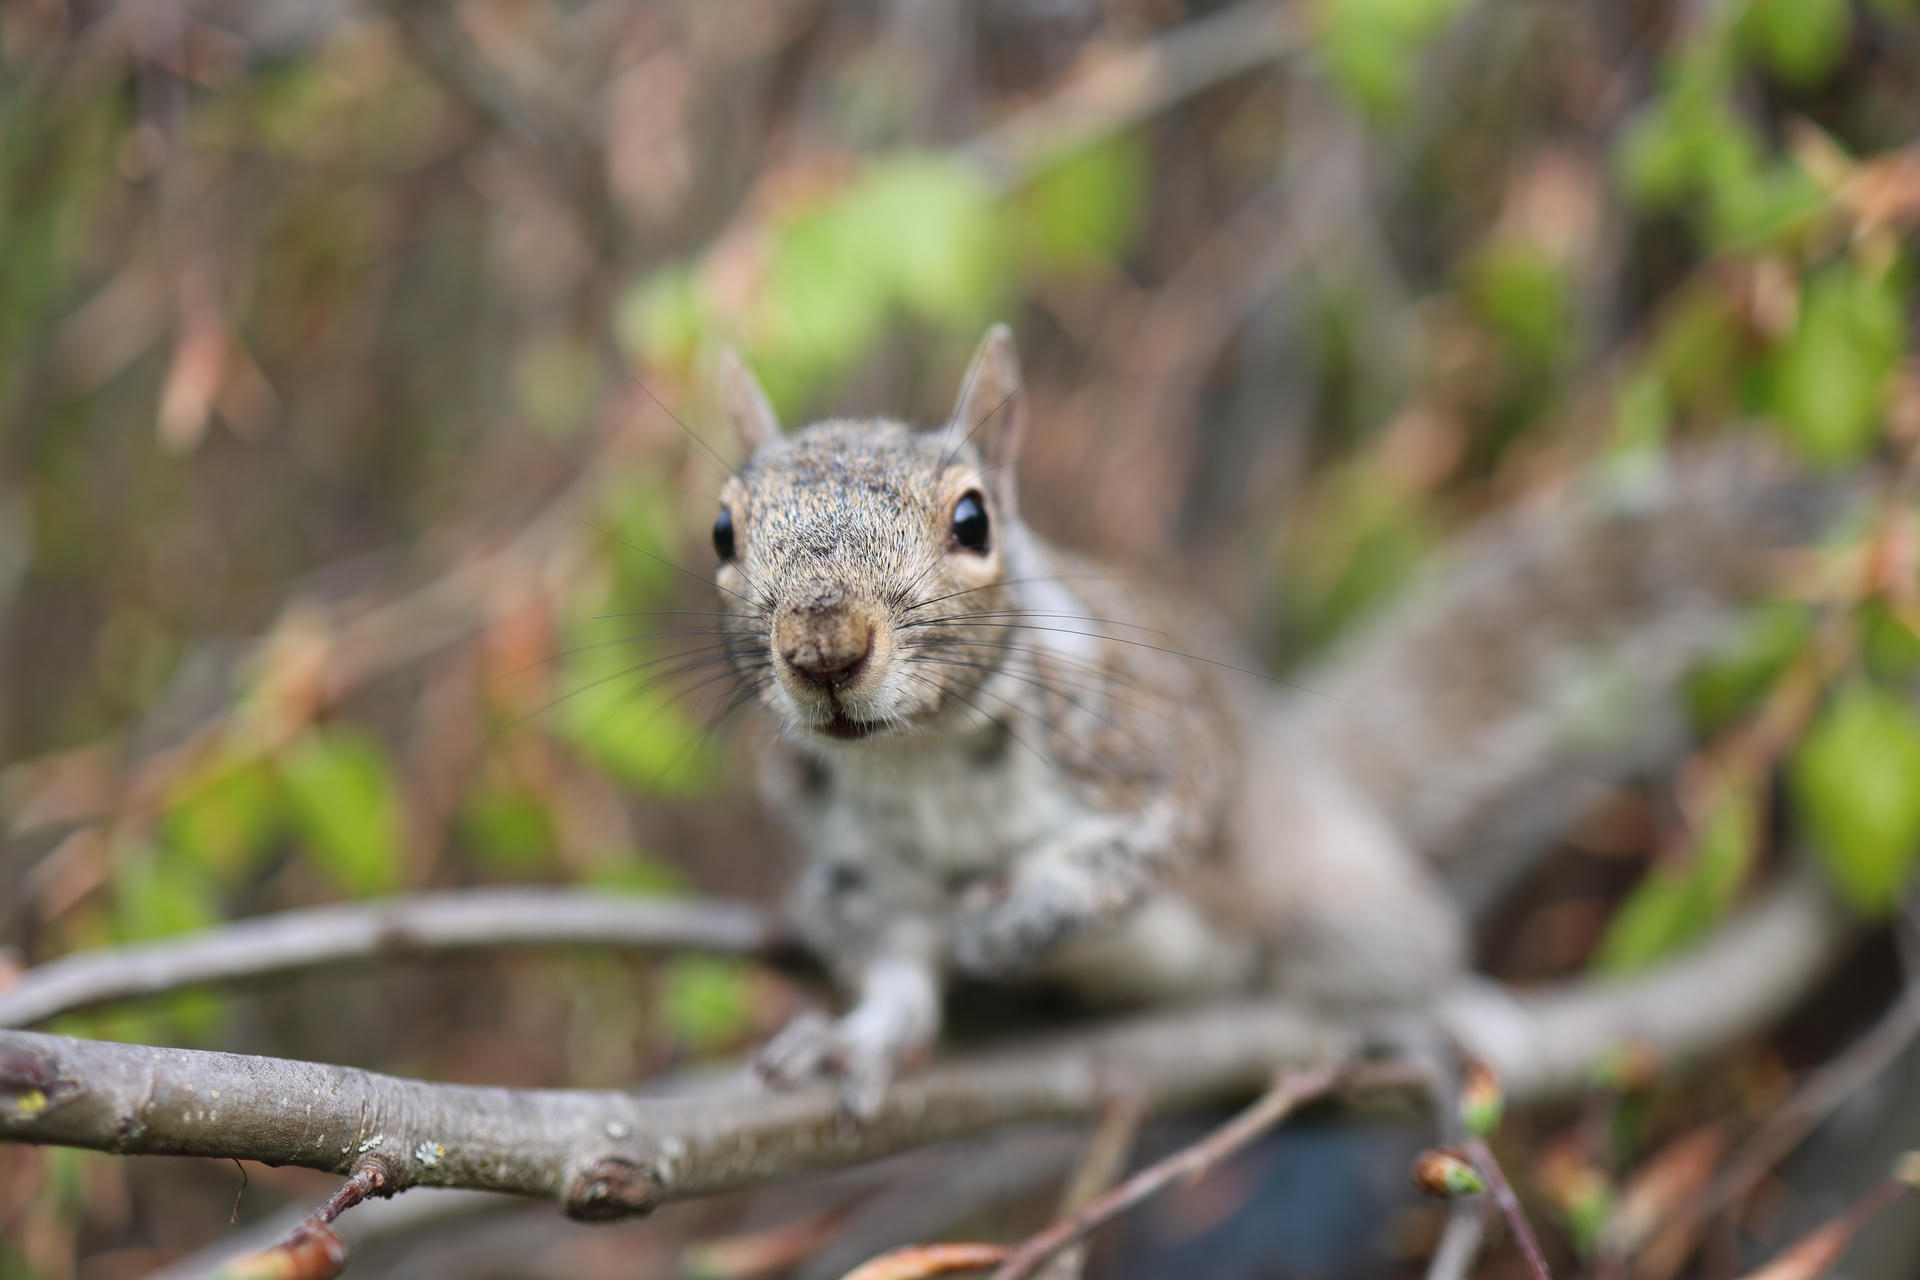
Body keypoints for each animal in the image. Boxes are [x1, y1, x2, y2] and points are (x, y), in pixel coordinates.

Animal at [709, 324, 1843, 1116]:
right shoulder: (854, 859)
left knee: (1399, 949)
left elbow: (1133, 856)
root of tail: (1312, 771)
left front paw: (1018, 921)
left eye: (974, 520)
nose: (823, 646)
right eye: (721, 529)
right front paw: (863, 1034)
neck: (924, 756)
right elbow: (894, 958)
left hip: (1335, 899)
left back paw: (1440, 1009)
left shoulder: (1155, 753)